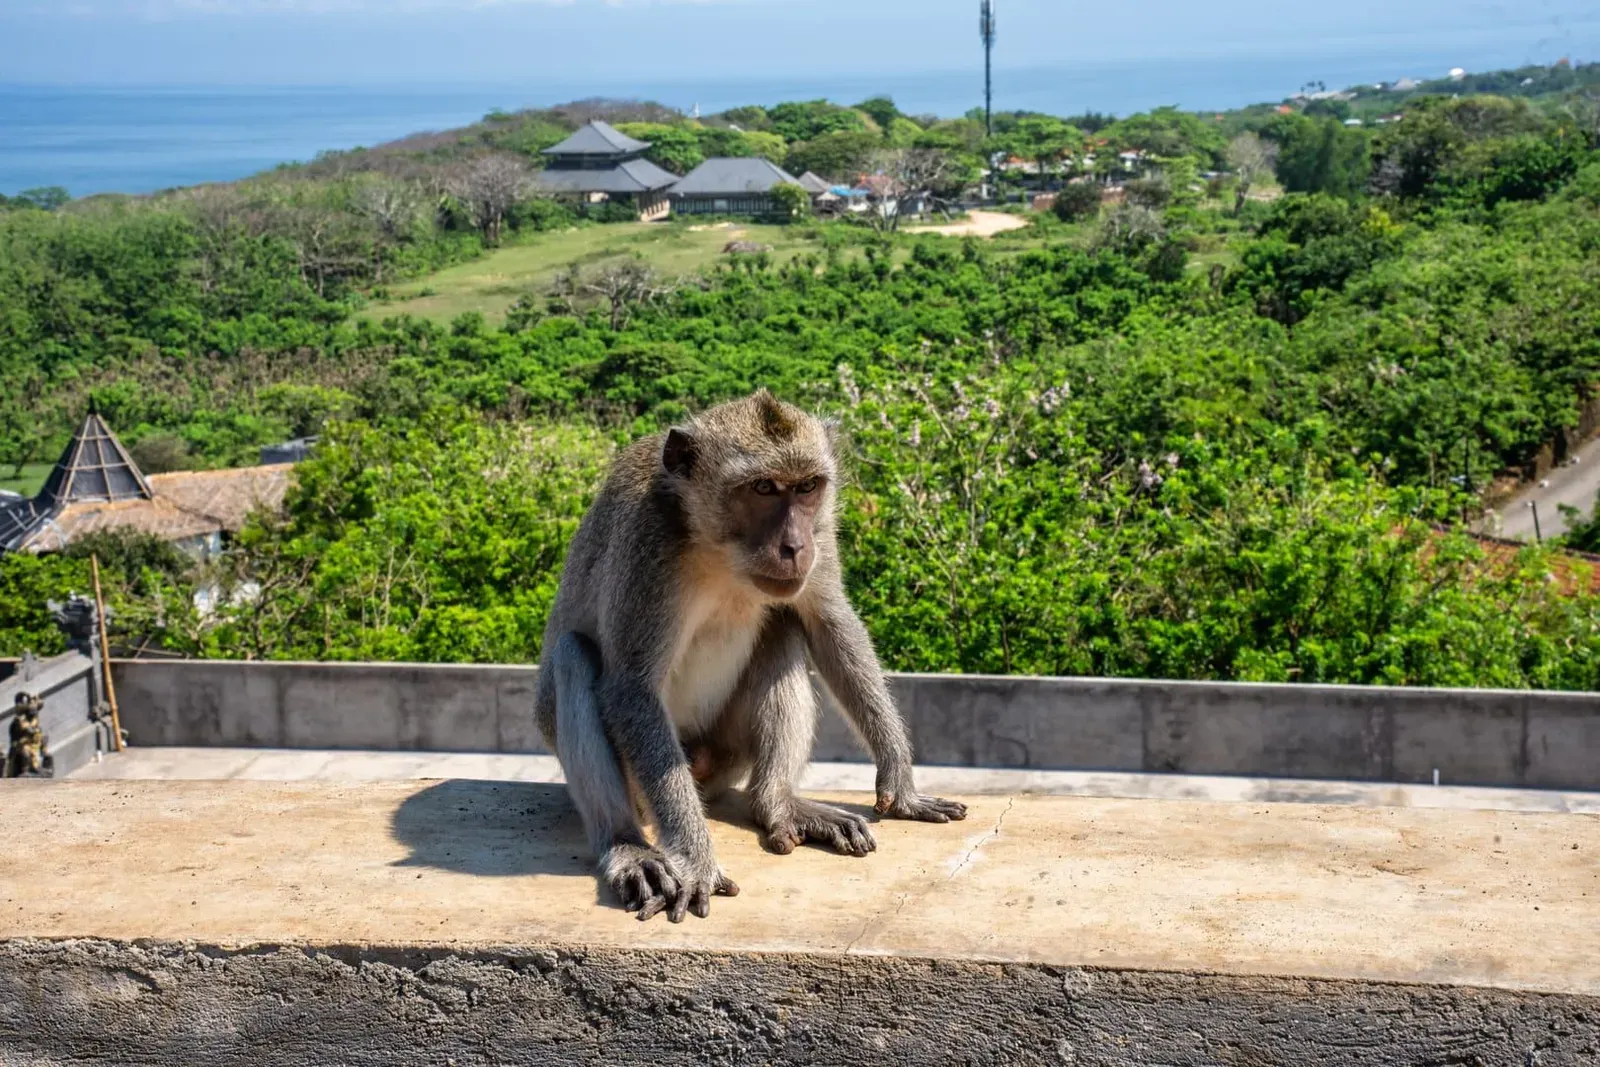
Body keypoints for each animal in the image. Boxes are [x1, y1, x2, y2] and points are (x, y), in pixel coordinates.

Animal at [535, 389, 967, 923]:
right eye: (763, 488)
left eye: (806, 487)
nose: (795, 546)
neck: (720, 552)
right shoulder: (647, 543)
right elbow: (631, 685)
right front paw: (696, 859)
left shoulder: (822, 534)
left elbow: (827, 622)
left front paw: (900, 783)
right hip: (646, 782)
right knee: (574, 656)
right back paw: (628, 847)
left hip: (727, 752)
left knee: (783, 627)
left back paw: (777, 803)